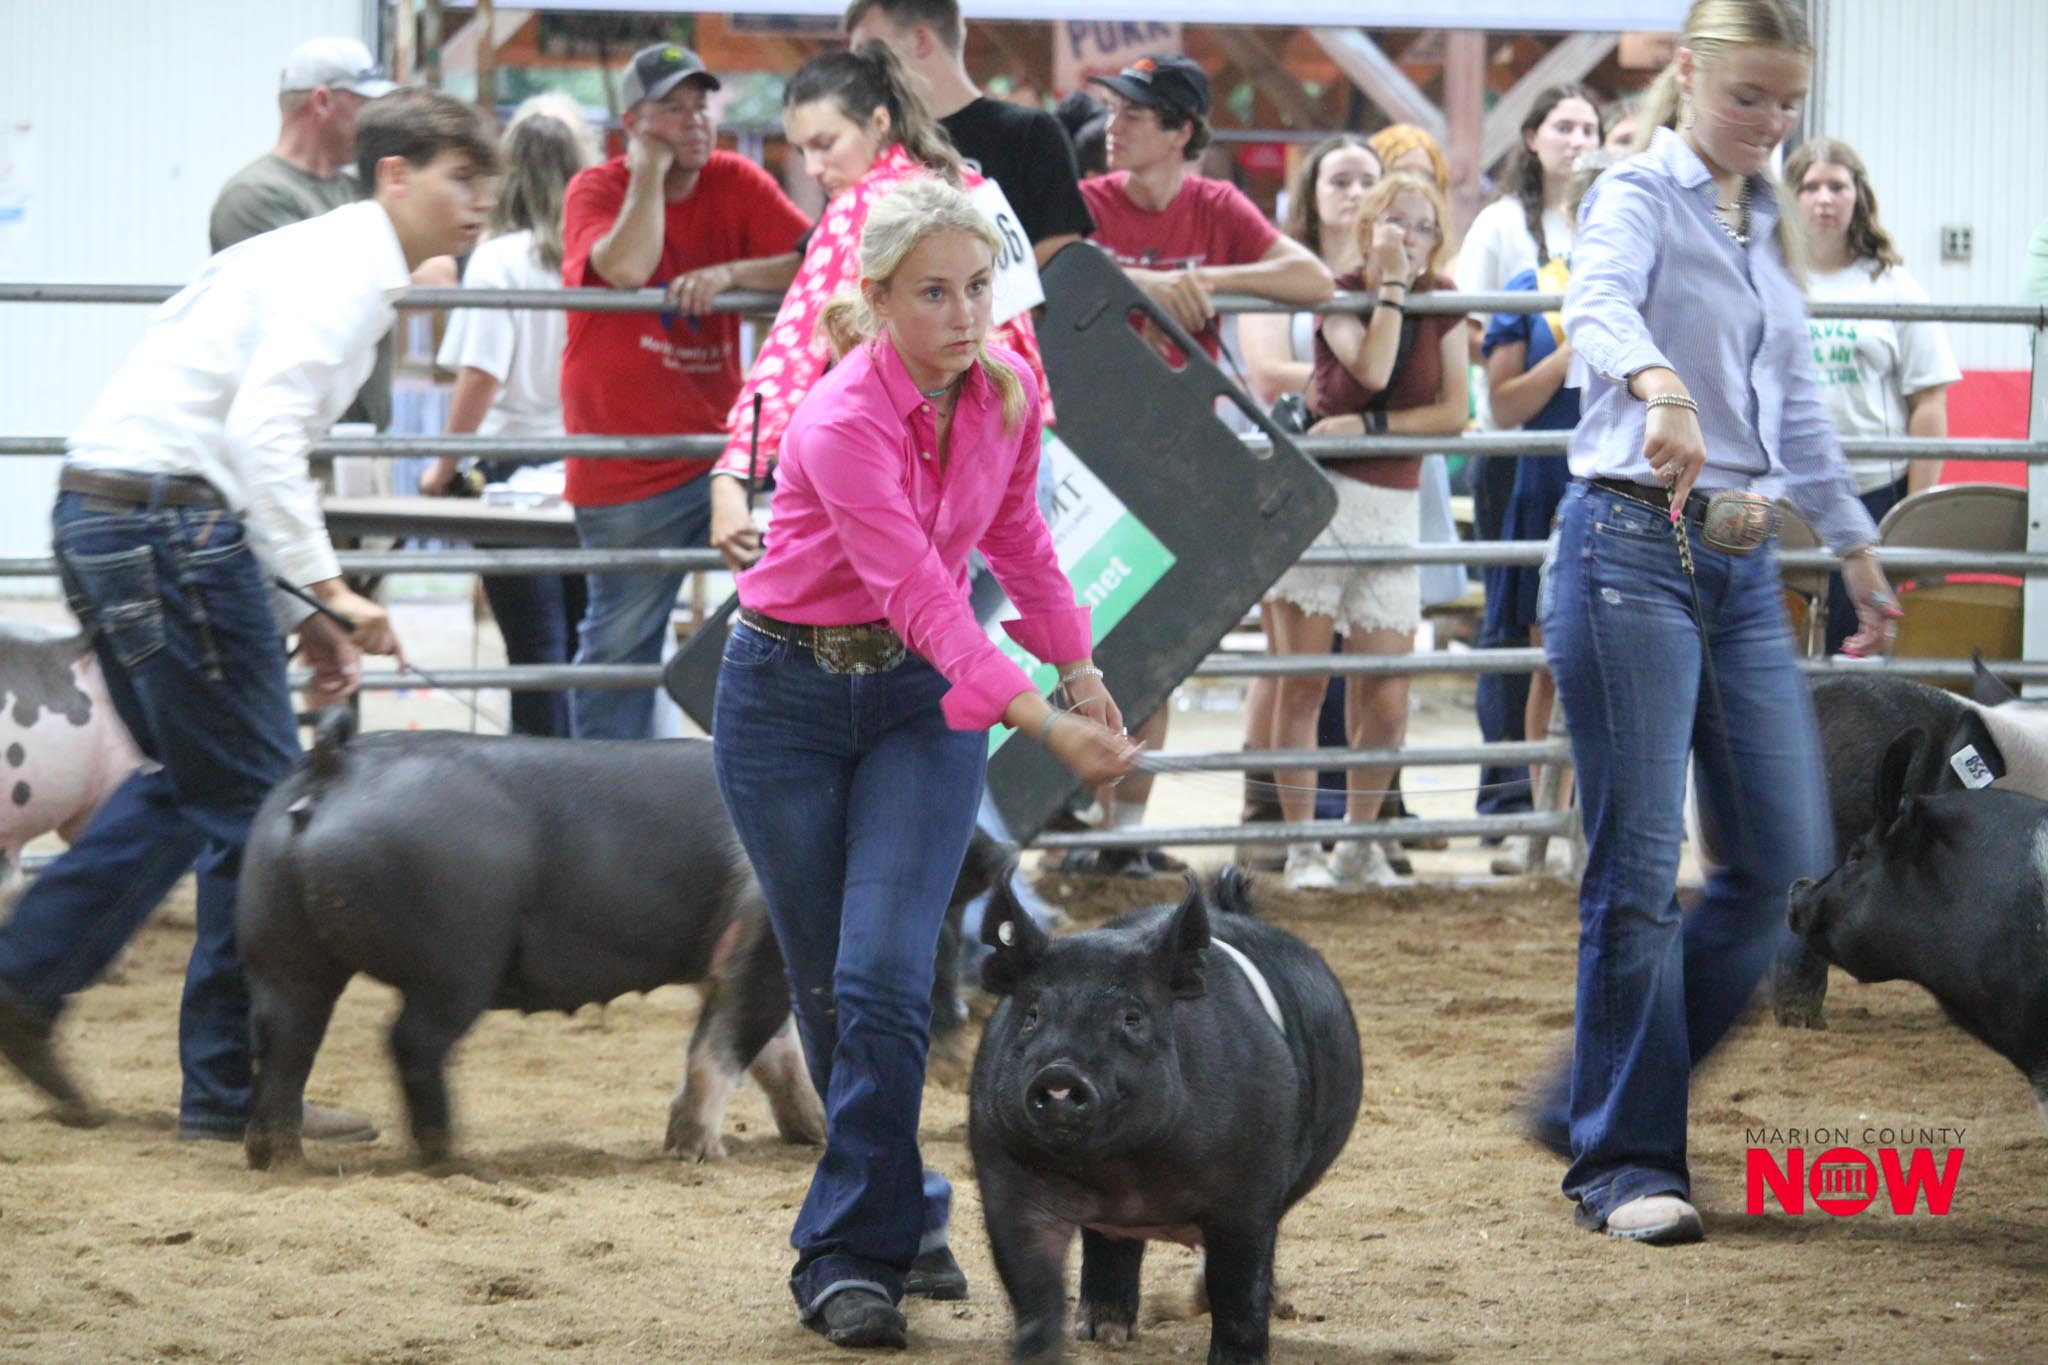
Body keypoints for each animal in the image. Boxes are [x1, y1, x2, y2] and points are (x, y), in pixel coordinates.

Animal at [237, 709, 1005, 1170]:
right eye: (946, 927)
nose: (960, 1057)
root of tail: (333, 765)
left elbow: (775, 1055)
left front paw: (810, 1134)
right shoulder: (757, 940)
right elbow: (724, 1047)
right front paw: (698, 1153)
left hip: (282, 948)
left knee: (284, 1041)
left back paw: (282, 1158)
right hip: (455, 959)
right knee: (409, 1043)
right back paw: (451, 1156)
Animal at [968, 867, 1361, 1365]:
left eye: (1132, 1017)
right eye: (1032, 1015)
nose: (1059, 1073)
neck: (1126, 1171)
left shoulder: (1249, 1189)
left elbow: (1238, 1289)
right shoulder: (1006, 1175)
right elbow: (1031, 1285)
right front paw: (1040, 1351)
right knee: (1108, 1242)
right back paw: (1102, 1331)